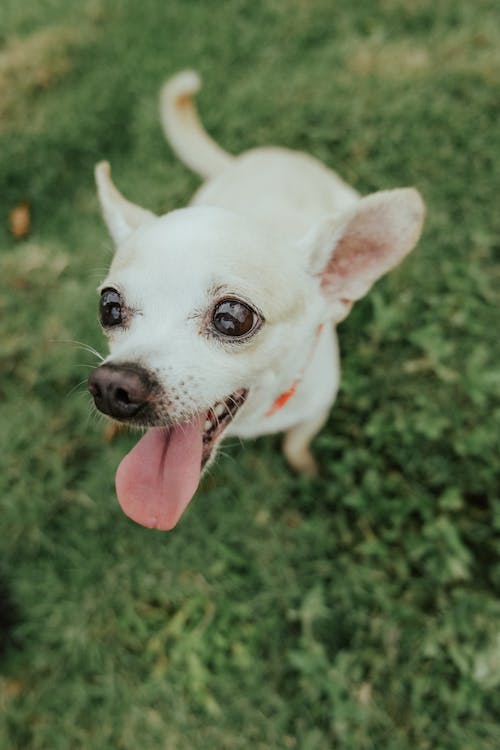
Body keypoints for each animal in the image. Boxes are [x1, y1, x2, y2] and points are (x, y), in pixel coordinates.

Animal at [88, 69, 424, 528]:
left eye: (233, 318)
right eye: (109, 308)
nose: (112, 384)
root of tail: (250, 160)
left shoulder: (317, 409)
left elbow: (296, 444)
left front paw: (304, 467)